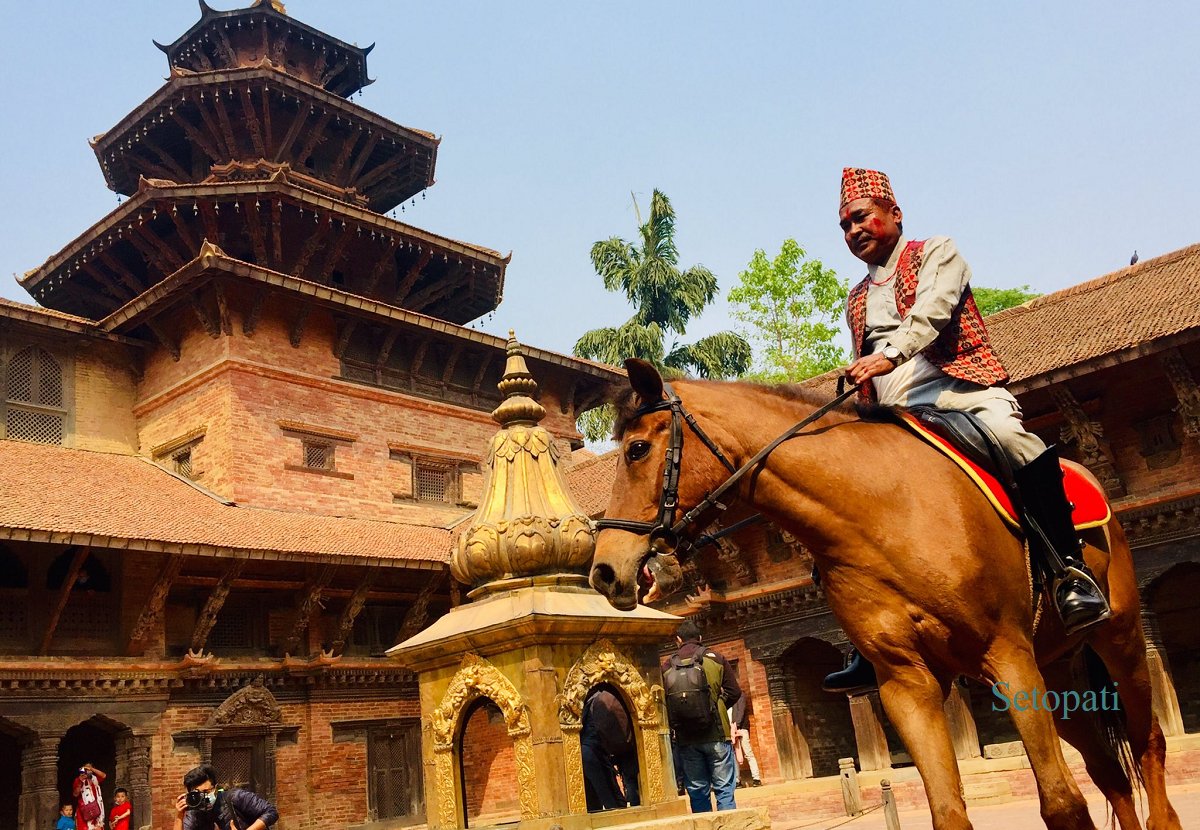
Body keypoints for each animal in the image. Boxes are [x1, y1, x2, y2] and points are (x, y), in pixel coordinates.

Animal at [590, 362, 1180, 830]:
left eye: (637, 449)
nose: (605, 569)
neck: (882, 512)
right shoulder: (905, 681)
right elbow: (947, 811)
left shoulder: (1008, 655)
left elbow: (1062, 803)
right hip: (1054, 666)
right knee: (1110, 773)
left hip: (1118, 634)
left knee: (1148, 742)